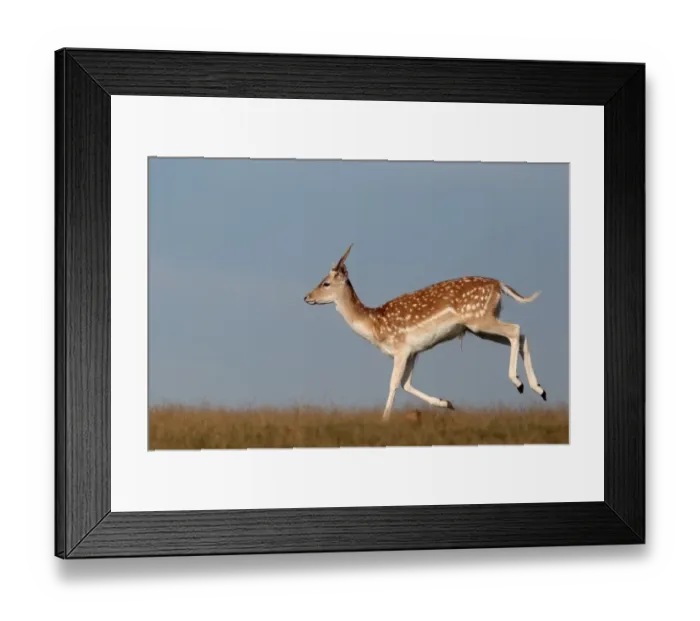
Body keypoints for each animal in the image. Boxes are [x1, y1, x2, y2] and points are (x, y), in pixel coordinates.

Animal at [304, 244, 547, 421]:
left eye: (326, 283)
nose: (307, 297)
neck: (375, 326)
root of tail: (499, 284)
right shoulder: (414, 351)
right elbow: (406, 384)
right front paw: (447, 403)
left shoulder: (401, 348)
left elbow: (394, 383)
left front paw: (384, 419)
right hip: (479, 326)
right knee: (520, 335)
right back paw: (539, 389)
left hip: (480, 319)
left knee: (515, 329)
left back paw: (519, 383)